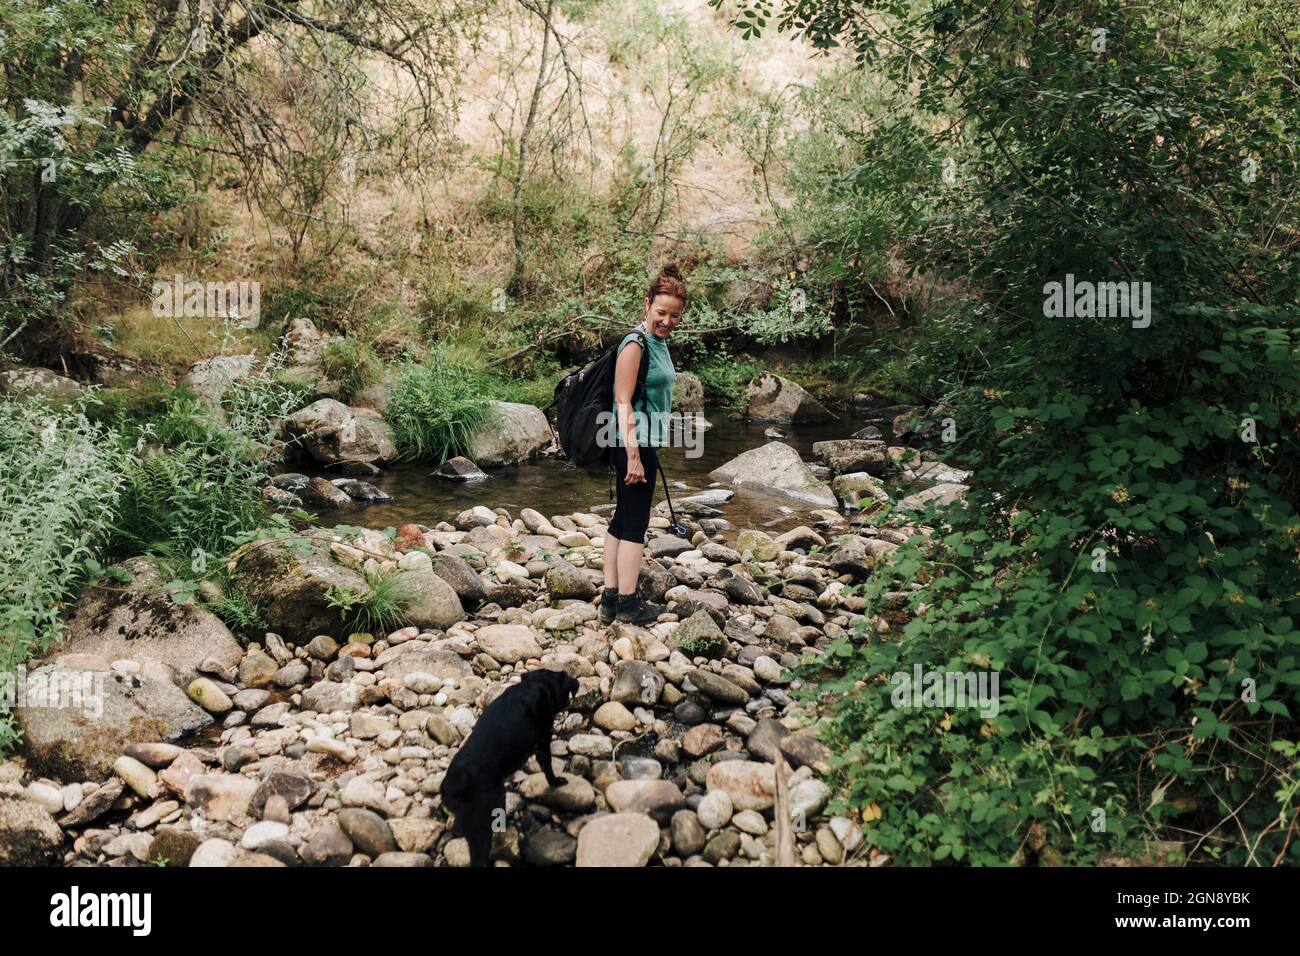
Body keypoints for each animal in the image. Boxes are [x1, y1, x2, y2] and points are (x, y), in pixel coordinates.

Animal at [439, 665, 577, 868]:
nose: (567, 702)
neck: (534, 685)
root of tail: (454, 783)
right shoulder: (544, 738)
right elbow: (548, 766)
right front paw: (556, 782)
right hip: (487, 816)